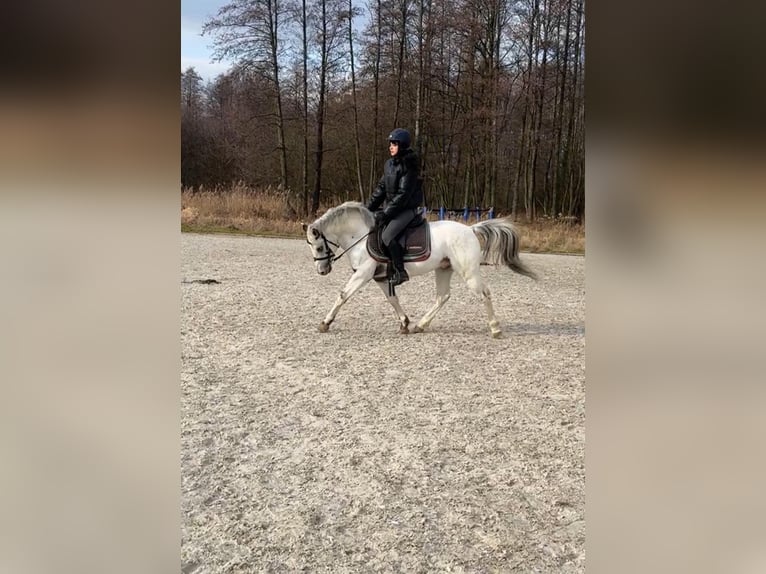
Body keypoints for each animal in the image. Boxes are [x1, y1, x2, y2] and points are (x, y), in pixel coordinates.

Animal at [302, 201, 540, 340]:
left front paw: (325, 323)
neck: (360, 236)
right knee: (443, 296)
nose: (322, 270)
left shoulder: (363, 274)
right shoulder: (380, 277)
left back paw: (495, 328)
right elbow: (392, 299)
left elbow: (343, 295)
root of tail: (470, 229)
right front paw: (405, 323)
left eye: (320, 246)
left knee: (484, 294)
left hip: (468, 272)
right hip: (444, 269)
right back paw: (421, 325)